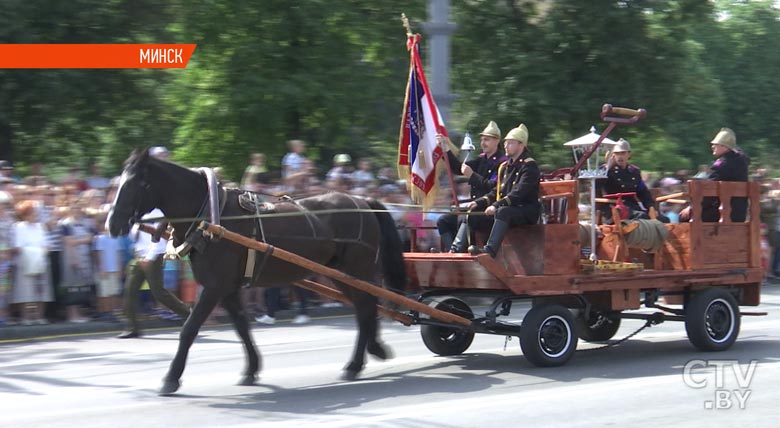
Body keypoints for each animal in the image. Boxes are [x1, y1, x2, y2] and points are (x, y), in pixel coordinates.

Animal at [109, 150, 408, 394]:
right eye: (119, 181)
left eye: (137, 183)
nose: (112, 223)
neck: (210, 217)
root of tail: (363, 200)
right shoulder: (227, 289)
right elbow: (242, 327)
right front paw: (252, 369)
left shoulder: (215, 287)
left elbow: (190, 328)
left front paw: (171, 378)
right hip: (340, 274)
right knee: (364, 308)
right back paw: (368, 354)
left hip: (357, 269)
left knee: (366, 308)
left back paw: (358, 361)